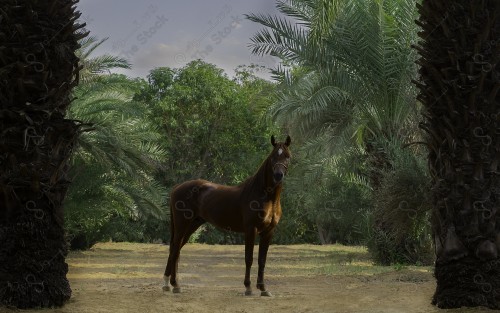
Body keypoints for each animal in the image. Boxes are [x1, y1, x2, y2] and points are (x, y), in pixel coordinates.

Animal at [162, 134, 292, 294]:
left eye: (287, 156)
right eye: (273, 157)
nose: (278, 175)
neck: (265, 197)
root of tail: (177, 188)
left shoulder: (268, 231)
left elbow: (262, 260)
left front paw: (263, 288)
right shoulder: (251, 229)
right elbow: (249, 258)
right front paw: (248, 287)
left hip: (192, 225)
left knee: (177, 249)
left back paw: (173, 284)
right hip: (182, 225)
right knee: (174, 249)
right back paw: (170, 283)